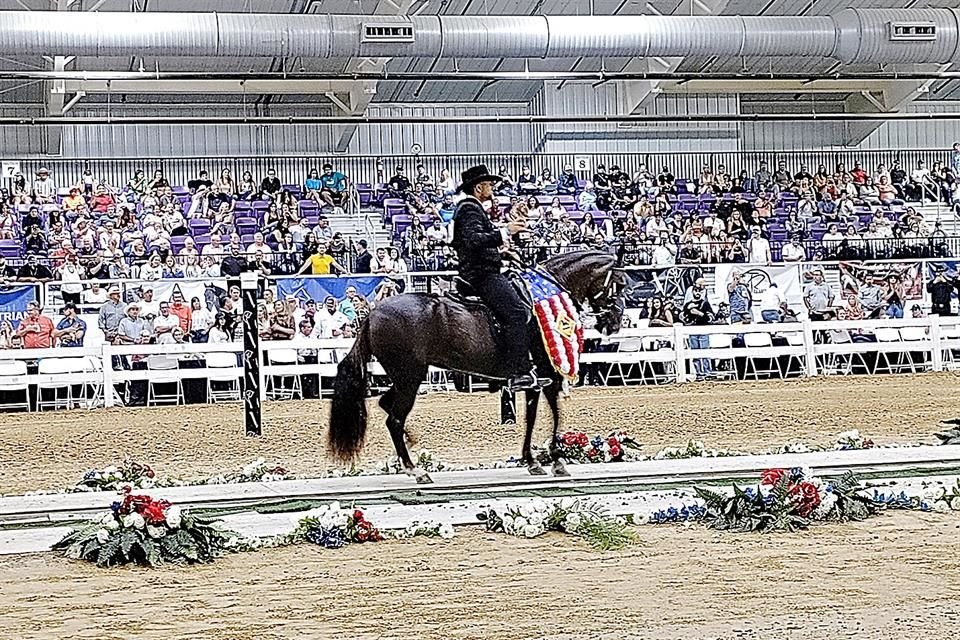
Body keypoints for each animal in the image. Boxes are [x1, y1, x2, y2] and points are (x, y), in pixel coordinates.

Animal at [330, 248, 628, 482]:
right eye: (621, 284)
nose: (614, 322)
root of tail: (373, 314)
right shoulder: (547, 372)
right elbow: (555, 412)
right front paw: (556, 460)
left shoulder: (534, 379)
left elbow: (531, 416)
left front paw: (531, 460)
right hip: (409, 378)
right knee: (394, 419)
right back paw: (415, 470)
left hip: (406, 378)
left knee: (387, 407)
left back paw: (411, 447)